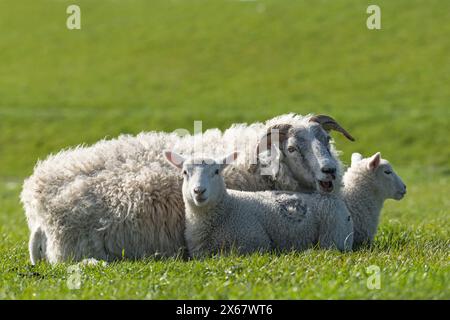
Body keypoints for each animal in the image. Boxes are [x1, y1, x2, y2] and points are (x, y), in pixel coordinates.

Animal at [163, 150, 356, 258]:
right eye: (185, 172)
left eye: (216, 171)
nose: (199, 191)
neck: (227, 208)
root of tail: (331, 196)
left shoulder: (255, 243)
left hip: (334, 237)